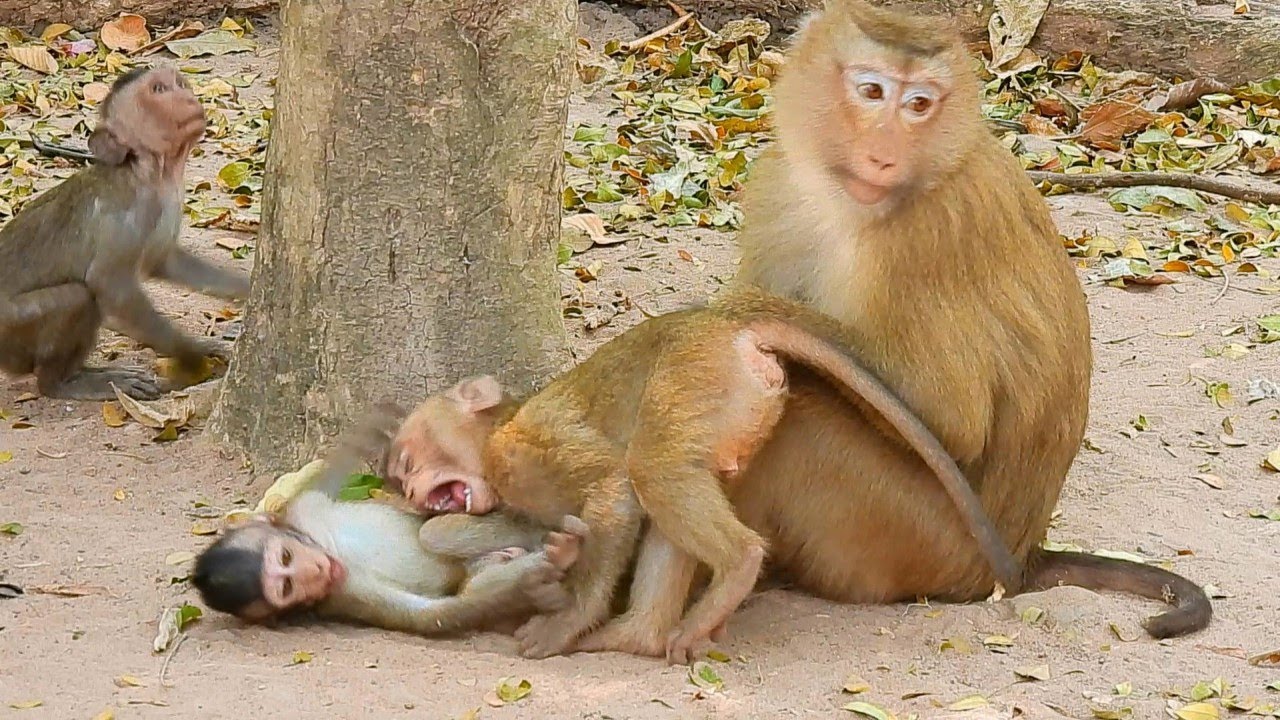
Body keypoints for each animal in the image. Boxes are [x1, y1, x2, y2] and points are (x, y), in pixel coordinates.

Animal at [0, 64, 249, 401]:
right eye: (159, 90)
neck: (151, 174)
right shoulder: (126, 215)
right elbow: (110, 285)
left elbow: (165, 263)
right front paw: (191, 355)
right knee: (77, 297)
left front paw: (247, 288)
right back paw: (61, 383)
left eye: (179, 83)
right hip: (11, 330)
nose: (188, 95)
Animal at [192, 404, 587, 636]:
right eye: (287, 588)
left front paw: (374, 425)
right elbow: (431, 615)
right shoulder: (342, 596)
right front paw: (531, 582)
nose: (316, 570)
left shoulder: (301, 509)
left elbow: (325, 477)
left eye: (286, 557)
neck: (328, 548)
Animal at [382, 287, 1025, 663]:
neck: (504, 424)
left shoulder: (520, 455)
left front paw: (568, 622)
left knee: (652, 468)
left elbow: (614, 488)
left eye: (407, 463)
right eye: (401, 479)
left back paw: (734, 568)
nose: (411, 492)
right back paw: (638, 634)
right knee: (674, 479)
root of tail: (725, 325)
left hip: (699, 376)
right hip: (737, 413)